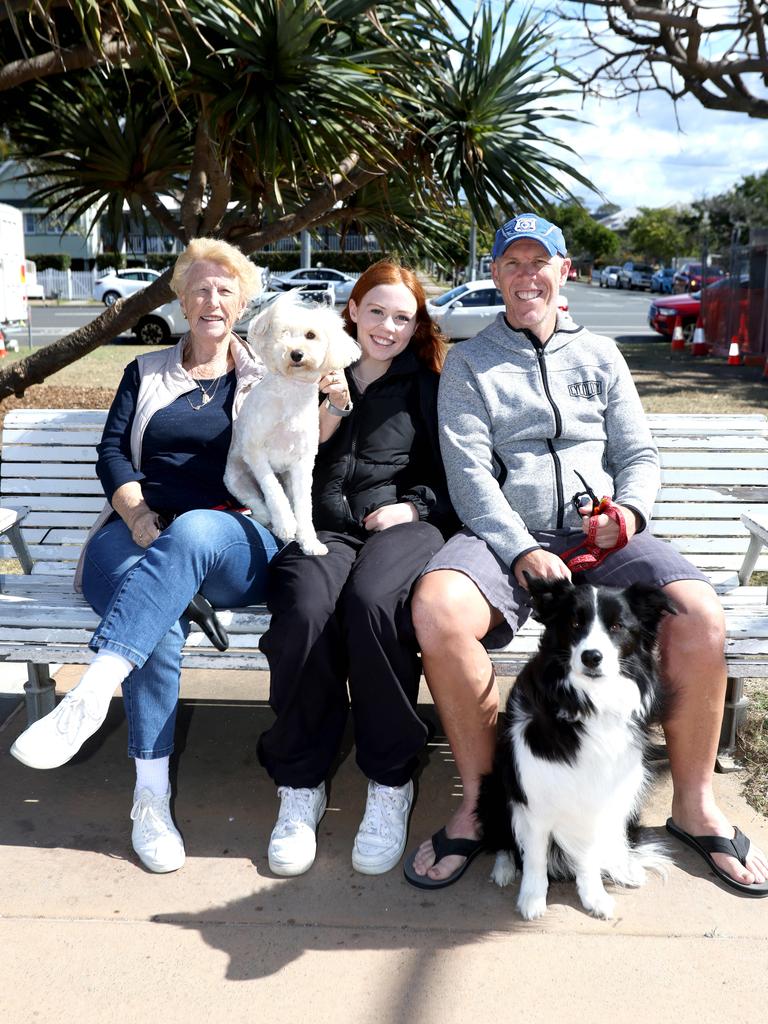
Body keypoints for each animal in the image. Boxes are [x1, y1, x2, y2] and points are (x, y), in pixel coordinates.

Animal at [225, 292, 360, 557]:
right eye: (283, 334)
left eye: (311, 335)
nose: (295, 354)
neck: (291, 394)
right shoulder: (255, 451)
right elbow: (273, 491)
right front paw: (286, 524)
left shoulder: (302, 463)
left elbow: (304, 507)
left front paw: (309, 541)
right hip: (236, 478)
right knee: (258, 501)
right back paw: (269, 518)